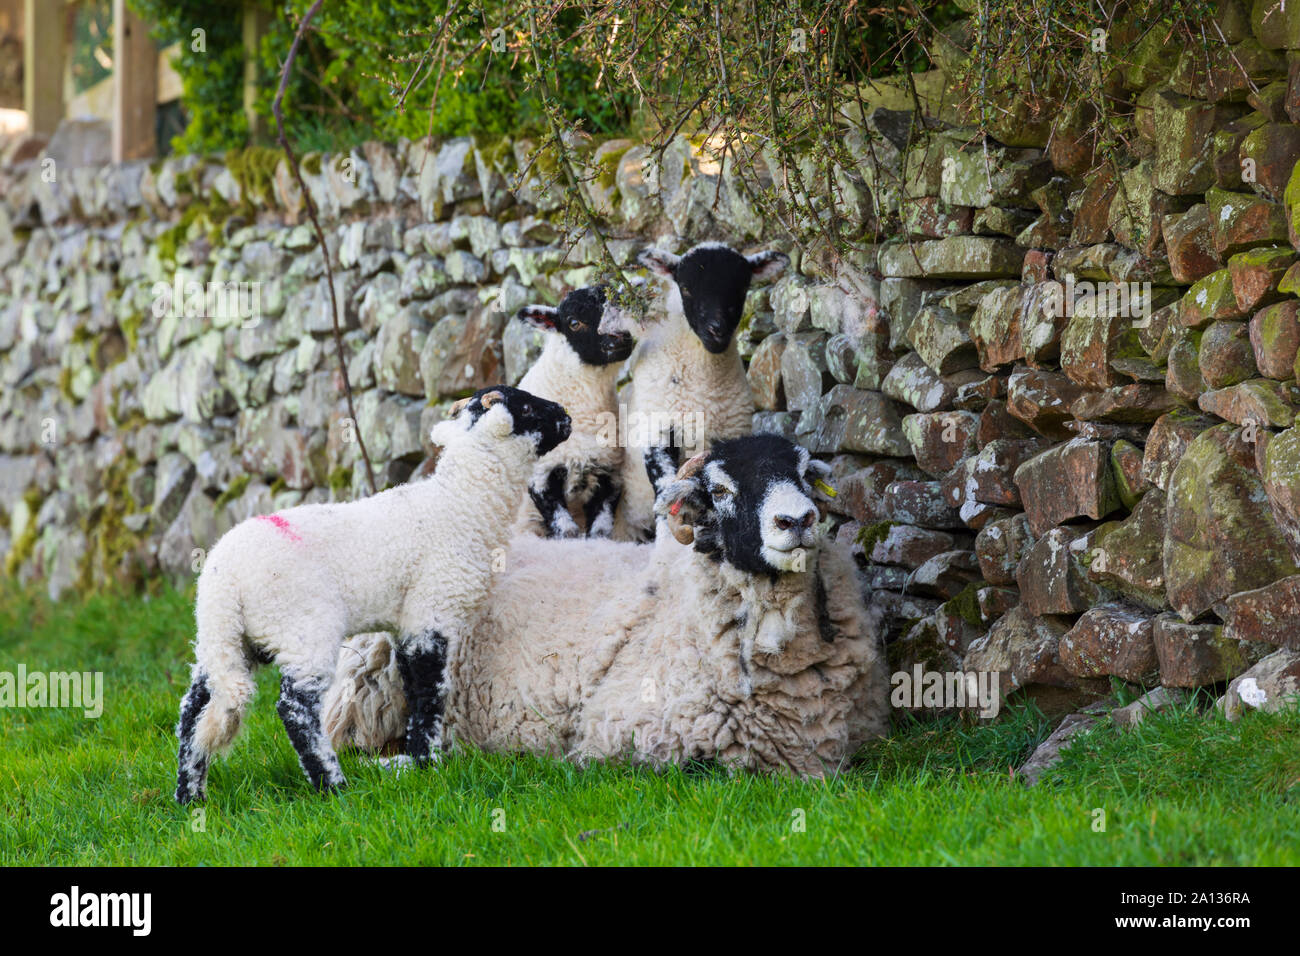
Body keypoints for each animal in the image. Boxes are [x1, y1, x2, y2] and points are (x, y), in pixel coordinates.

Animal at [174, 385, 574, 806]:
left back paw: (190, 795)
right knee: (294, 708)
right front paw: (428, 763)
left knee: (193, 707)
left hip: (229, 640)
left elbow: (412, 686)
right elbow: (431, 690)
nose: (566, 416)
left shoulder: (407, 622)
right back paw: (333, 786)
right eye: (526, 406)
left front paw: (415, 760)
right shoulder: (432, 608)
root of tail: (222, 581)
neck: (459, 503)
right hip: (303, 628)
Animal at [512, 283, 634, 538]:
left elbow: (600, 530)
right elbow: (565, 530)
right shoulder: (542, 475)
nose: (621, 337)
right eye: (574, 322)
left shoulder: (609, 473)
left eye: (620, 303)